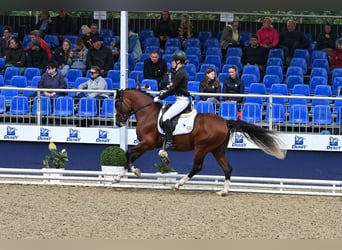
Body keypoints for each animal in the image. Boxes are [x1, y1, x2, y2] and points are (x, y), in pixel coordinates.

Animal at [115, 89, 286, 196]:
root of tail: (225, 122)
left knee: (197, 167)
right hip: (217, 150)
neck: (148, 113)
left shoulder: (147, 143)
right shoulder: (146, 144)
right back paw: (223, 192)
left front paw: (133, 172)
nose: (118, 122)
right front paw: (121, 176)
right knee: (227, 168)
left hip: (202, 148)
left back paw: (177, 185)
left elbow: (129, 153)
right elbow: (131, 155)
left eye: (117, 103)